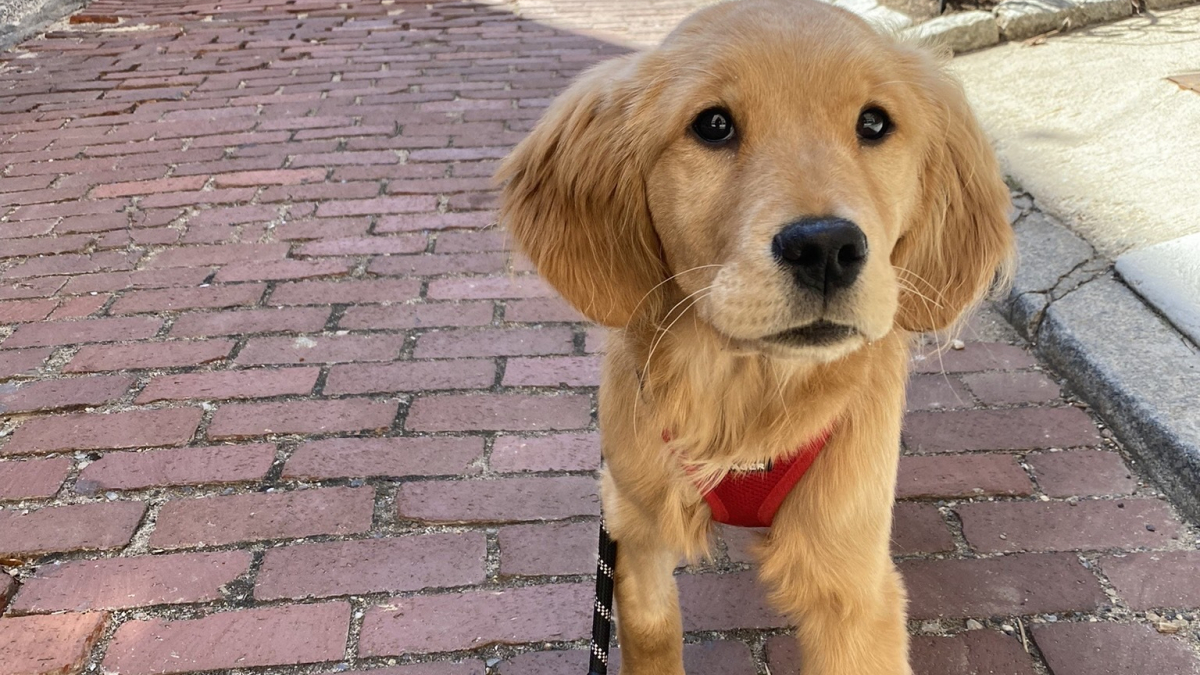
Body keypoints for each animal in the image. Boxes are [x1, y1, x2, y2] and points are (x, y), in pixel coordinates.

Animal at [496, 1, 1012, 672]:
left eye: (874, 122)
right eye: (713, 125)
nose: (826, 248)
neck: (744, 397)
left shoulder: (854, 585)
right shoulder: (632, 522)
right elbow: (652, 631)